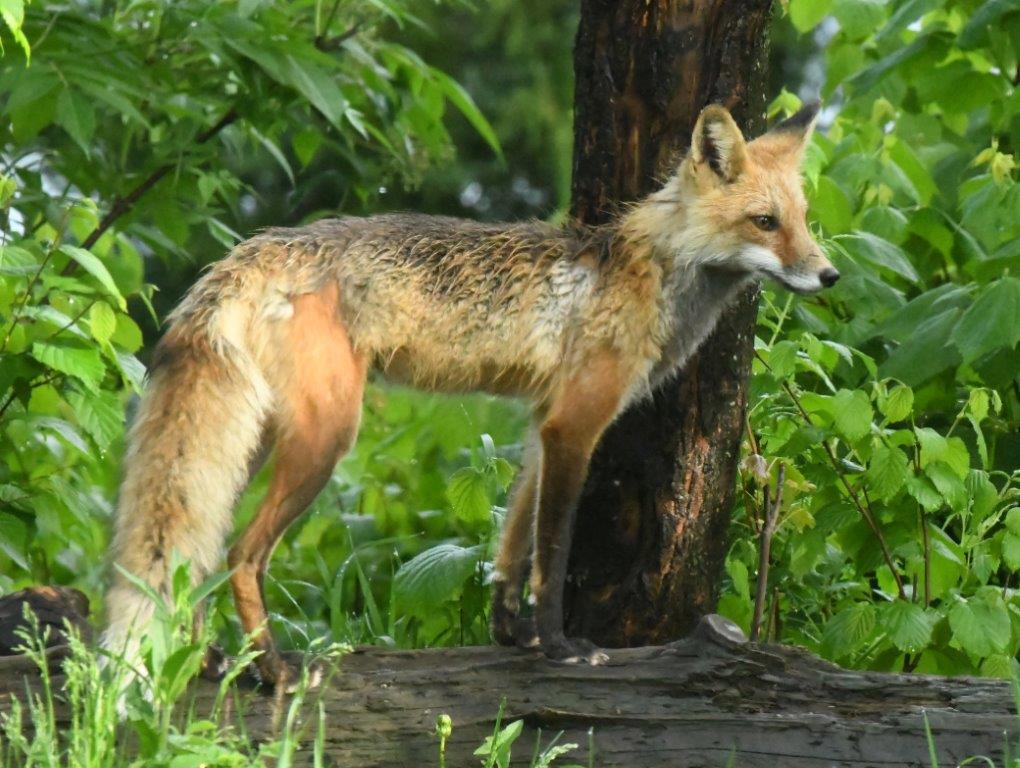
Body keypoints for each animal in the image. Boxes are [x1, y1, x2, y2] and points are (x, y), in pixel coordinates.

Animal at [101, 101, 837, 689]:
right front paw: (562, 648)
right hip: (325, 438)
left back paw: (206, 662)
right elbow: (553, 553)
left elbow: (512, 546)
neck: (648, 273)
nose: (829, 275)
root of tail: (246, 251)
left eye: (803, 220)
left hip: (252, 440)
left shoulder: (543, 424)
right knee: (240, 554)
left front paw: (513, 636)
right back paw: (273, 668)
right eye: (764, 222)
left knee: (198, 552)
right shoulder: (576, 426)